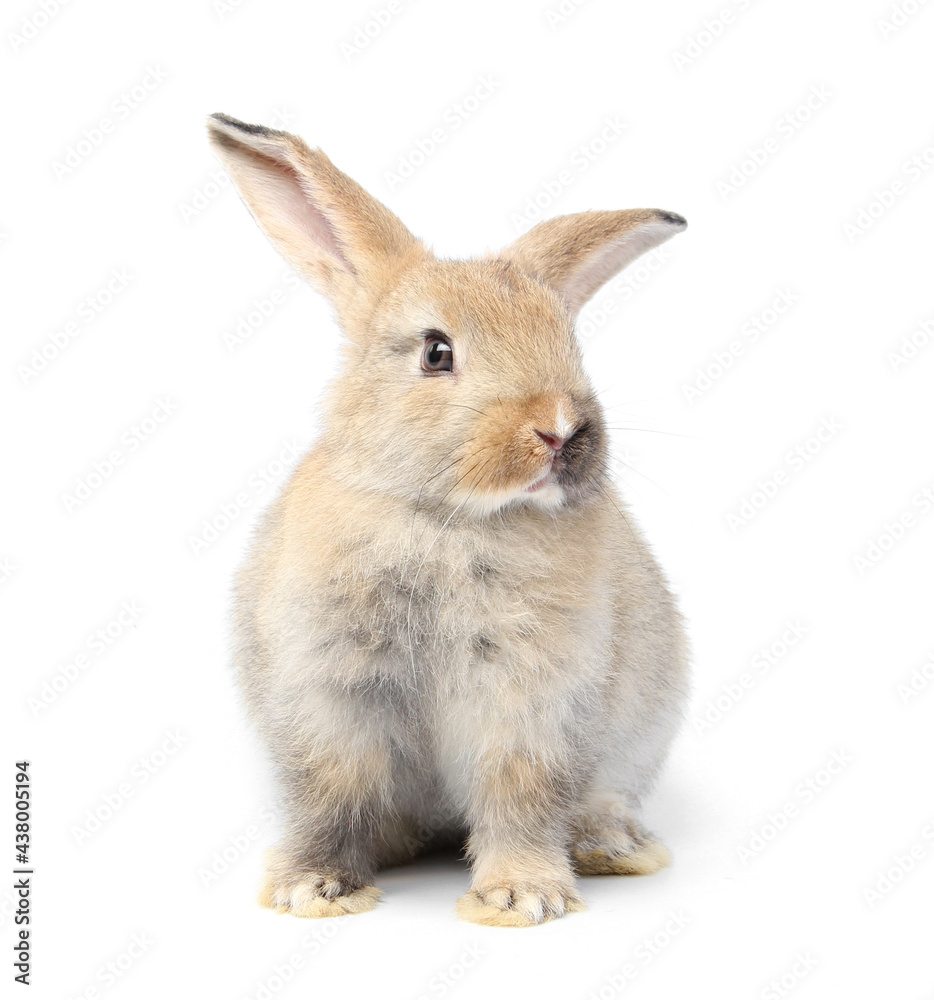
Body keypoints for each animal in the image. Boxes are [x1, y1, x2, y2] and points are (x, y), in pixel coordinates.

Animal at [207, 112, 690, 927]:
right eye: (437, 352)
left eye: (569, 345)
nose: (561, 429)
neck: (447, 519)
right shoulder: (329, 691)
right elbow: (332, 792)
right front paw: (313, 889)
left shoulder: (533, 701)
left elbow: (522, 793)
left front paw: (523, 899)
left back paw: (612, 848)